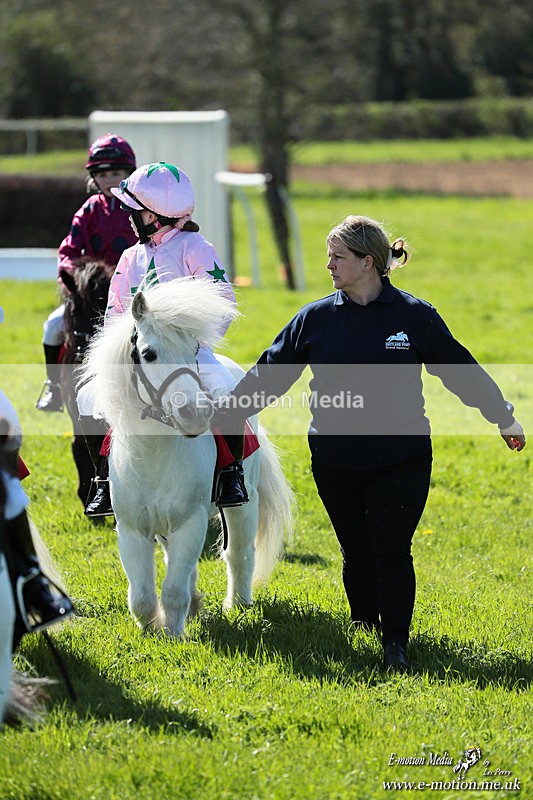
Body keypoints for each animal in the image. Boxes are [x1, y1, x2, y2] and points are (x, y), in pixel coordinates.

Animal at [79, 277, 294, 638]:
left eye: (194, 350)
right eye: (148, 353)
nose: (195, 414)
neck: (154, 454)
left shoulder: (190, 523)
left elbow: (173, 590)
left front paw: (173, 635)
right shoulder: (132, 529)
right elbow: (142, 595)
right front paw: (151, 630)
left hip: (244, 504)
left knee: (238, 553)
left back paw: (238, 605)